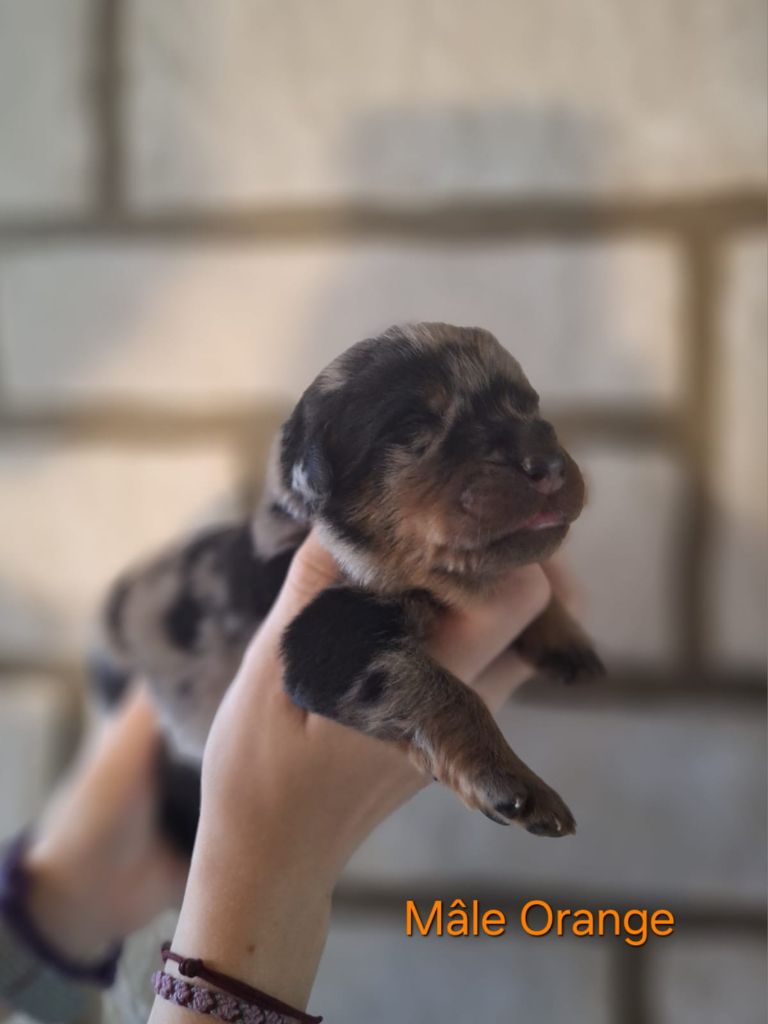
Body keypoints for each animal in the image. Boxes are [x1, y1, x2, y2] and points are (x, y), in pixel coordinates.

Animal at [93, 323, 603, 849]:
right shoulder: (324, 642)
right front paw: (512, 781)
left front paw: (565, 637)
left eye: (532, 408)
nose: (548, 463)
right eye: (412, 428)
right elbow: (440, 690)